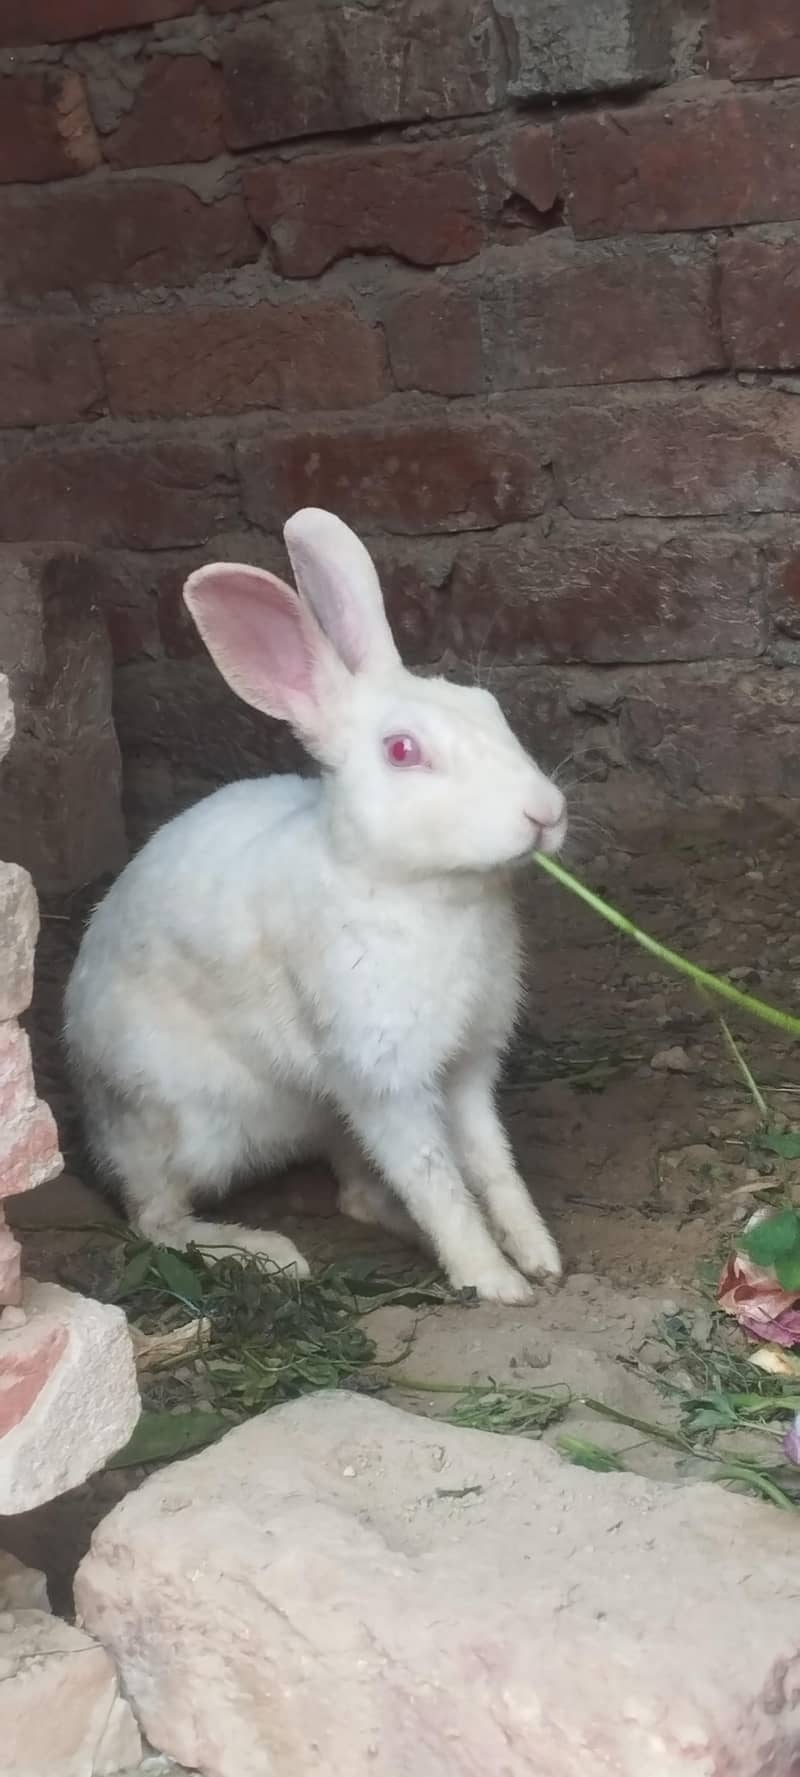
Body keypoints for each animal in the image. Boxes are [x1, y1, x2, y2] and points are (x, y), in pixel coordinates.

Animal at [64, 508, 567, 1303]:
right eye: (402, 751)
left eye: (487, 709)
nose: (544, 812)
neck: (417, 886)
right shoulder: (383, 1079)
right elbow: (438, 1180)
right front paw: (495, 1282)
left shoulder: (468, 1069)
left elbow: (493, 1165)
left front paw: (539, 1256)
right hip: (186, 1123)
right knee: (155, 1217)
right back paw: (268, 1253)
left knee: (355, 1193)